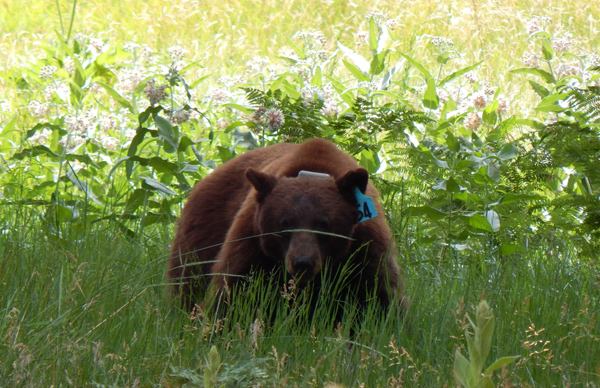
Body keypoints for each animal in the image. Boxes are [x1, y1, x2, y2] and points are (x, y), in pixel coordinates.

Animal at [168, 138, 404, 316]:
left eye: (324, 224)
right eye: (284, 224)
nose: (302, 262)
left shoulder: (366, 246)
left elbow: (379, 296)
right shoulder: (252, 240)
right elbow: (232, 289)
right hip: (201, 236)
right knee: (188, 276)